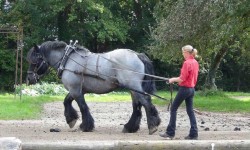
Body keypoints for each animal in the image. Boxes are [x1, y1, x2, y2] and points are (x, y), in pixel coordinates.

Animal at [26, 40, 161, 135]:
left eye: (35, 61)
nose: (29, 78)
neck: (67, 59)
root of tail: (138, 55)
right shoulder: (78, 90)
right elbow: (67, 101)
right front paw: (71, 120)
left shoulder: (75, 90)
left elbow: (83, 107)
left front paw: (85, 126)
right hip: (133, 89)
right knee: (137, 106)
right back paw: (130, 127)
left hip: (134, 87)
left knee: (145, 102)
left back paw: (152, 126)